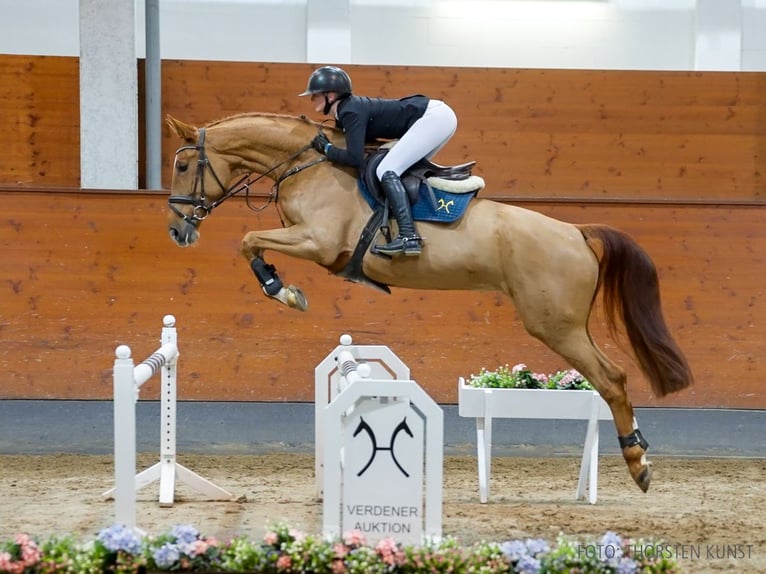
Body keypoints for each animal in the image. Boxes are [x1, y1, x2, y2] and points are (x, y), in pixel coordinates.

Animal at [166, 112, 696, 496]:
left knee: (611, 378)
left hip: (555, 325)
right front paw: (284, 289)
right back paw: (639, 454)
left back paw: (638, 462)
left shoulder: (317, 242)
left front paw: (283, 291)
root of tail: (576, 232)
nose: (176, 231)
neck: (307, 165)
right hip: (566, 325)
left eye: (183, 166)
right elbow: (251, 242)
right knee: (611, 377)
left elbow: (249, 241)